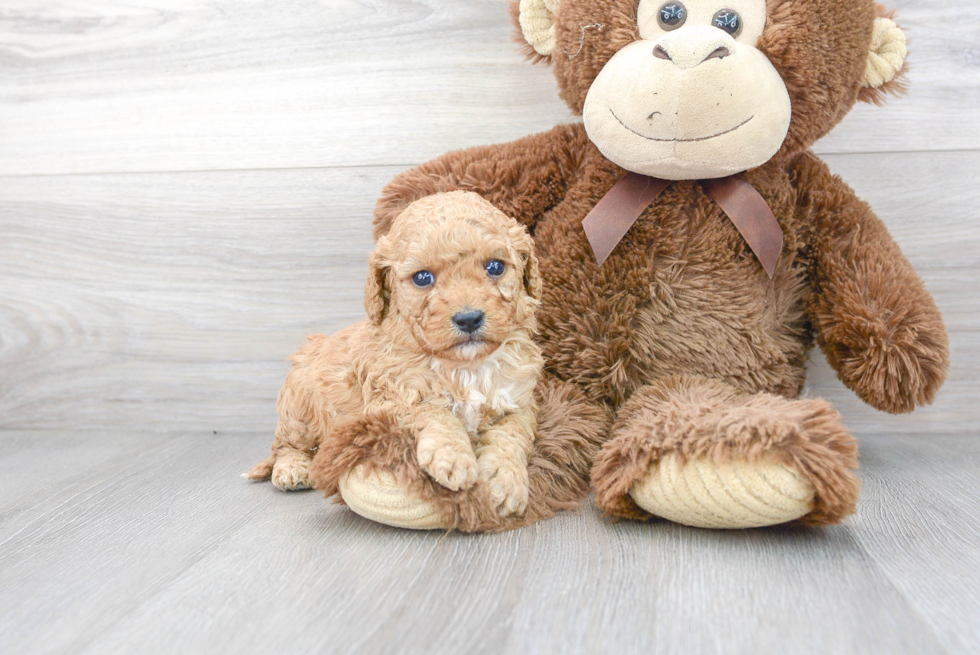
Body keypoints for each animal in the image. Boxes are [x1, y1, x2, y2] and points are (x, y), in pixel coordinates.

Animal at [242, 190, 540, 516]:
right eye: (422, 278)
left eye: (495, 267)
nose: (469, 318)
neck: (465, 367)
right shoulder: (393, 398)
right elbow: (433, 412)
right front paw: (453, 457)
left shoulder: (519, 402)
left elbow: (512, 434)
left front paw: (504, 479)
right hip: (300, 409)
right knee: (285, 446)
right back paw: (291, 469)